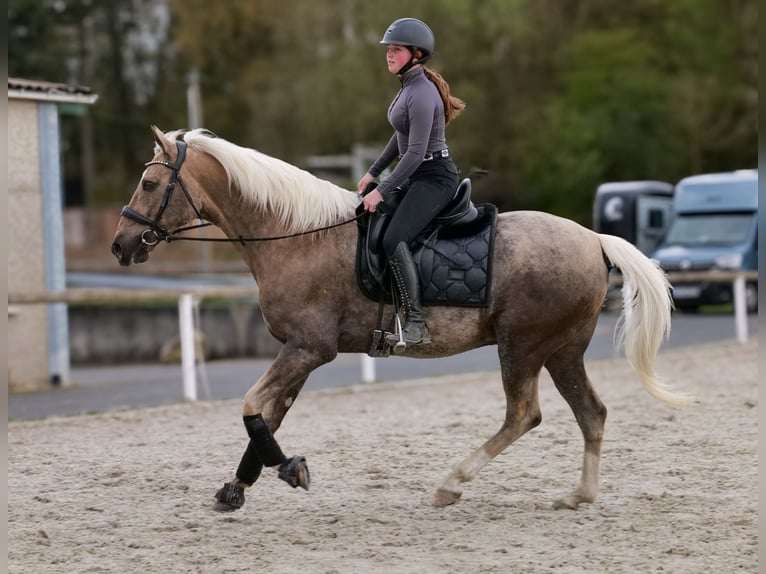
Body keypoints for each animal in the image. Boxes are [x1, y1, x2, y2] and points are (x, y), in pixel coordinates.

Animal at [111, 126, 692, 512]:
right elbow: (268, 416)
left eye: (148, 184)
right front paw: (237, 488)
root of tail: (594, 238)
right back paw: (580, 495)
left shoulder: (308, 348)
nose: (120, 245)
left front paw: (290, 470)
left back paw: (452, 483)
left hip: (523, 347)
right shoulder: (301, 352)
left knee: (524, 415)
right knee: (591, 413)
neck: (295, 235)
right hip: (562, 350)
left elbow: (254, 407)